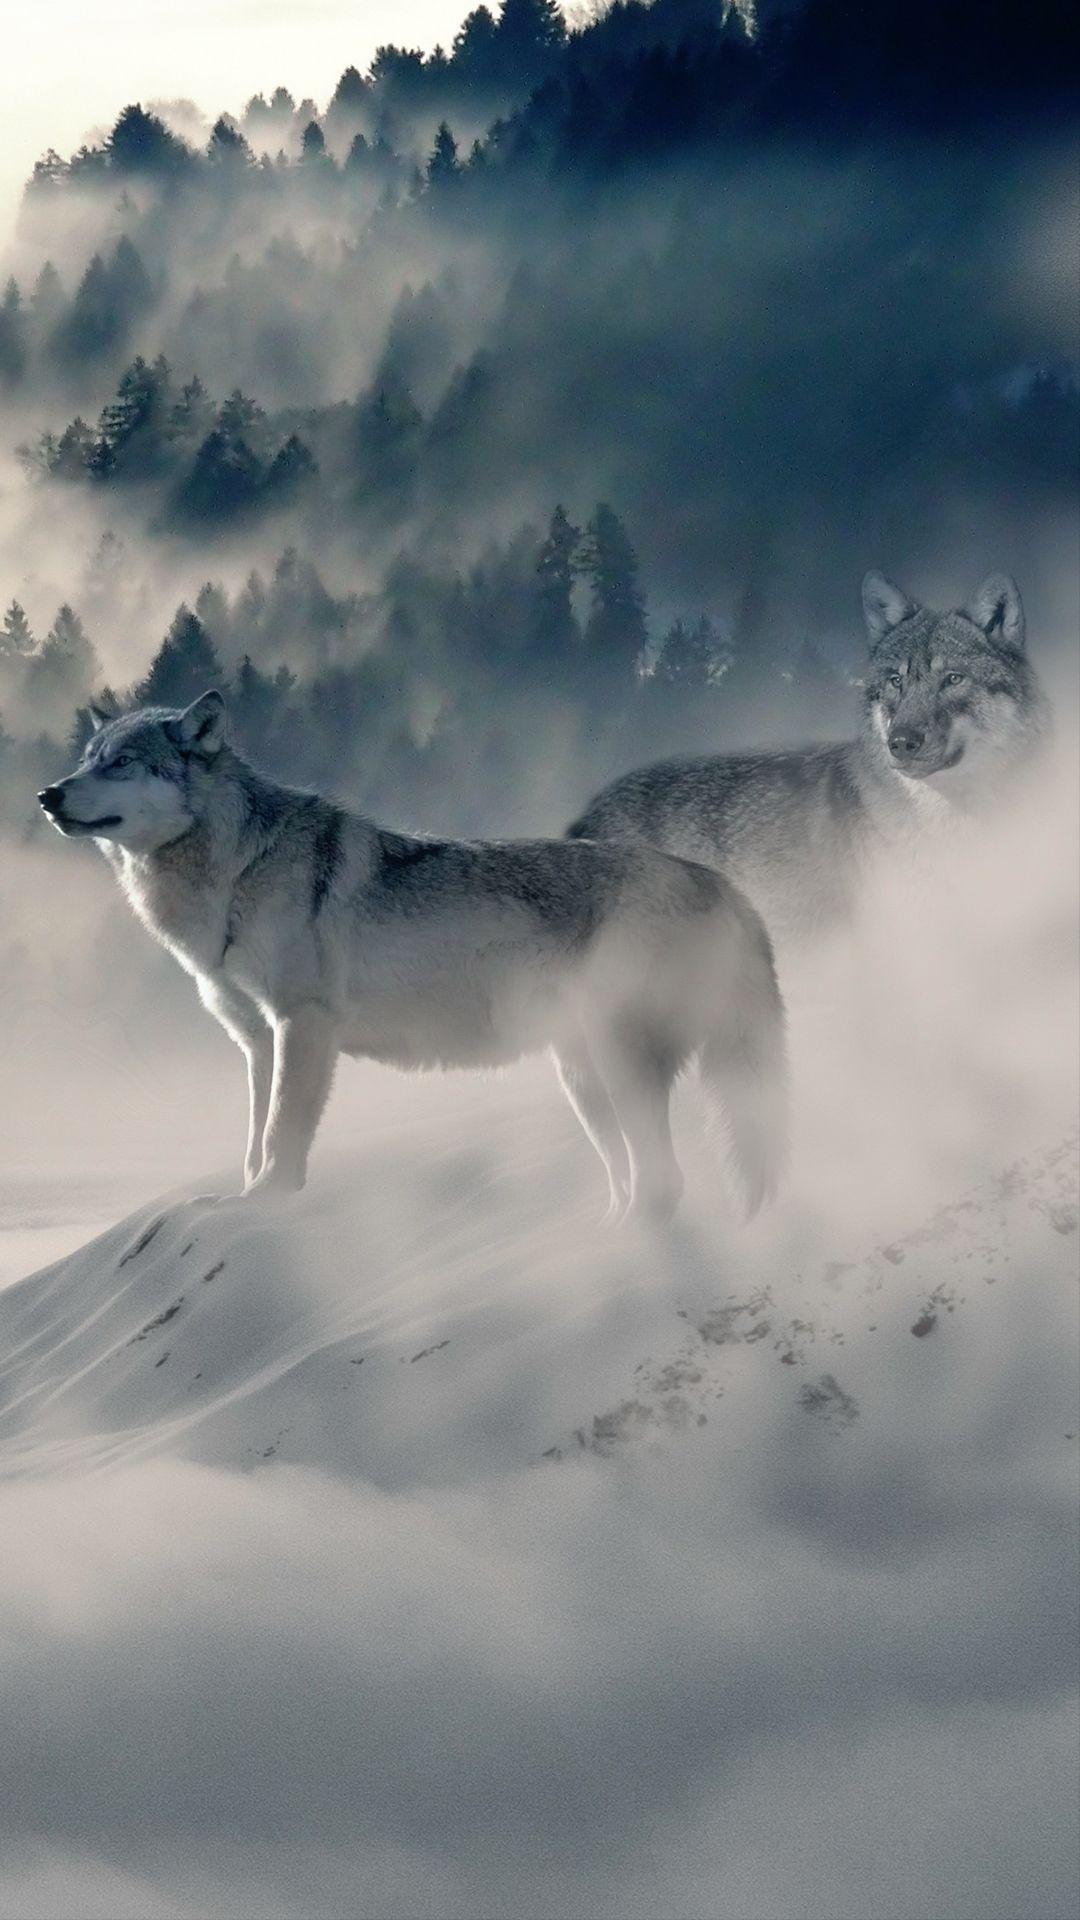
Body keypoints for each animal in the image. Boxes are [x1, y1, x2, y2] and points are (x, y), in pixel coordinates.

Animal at [38, 691, 787, 1219]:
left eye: (121, 762)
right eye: (87, 758)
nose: (47, 794)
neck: (235, 871)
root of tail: (723, 885)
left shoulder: (303, 1025)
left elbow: (280, 1137)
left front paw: (267, 1204)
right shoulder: (257, 1040)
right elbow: (252, 1141)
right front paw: (240, 1199)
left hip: (616, 1063)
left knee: (664, 1183)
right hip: (582, 1080)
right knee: (635, 1181)